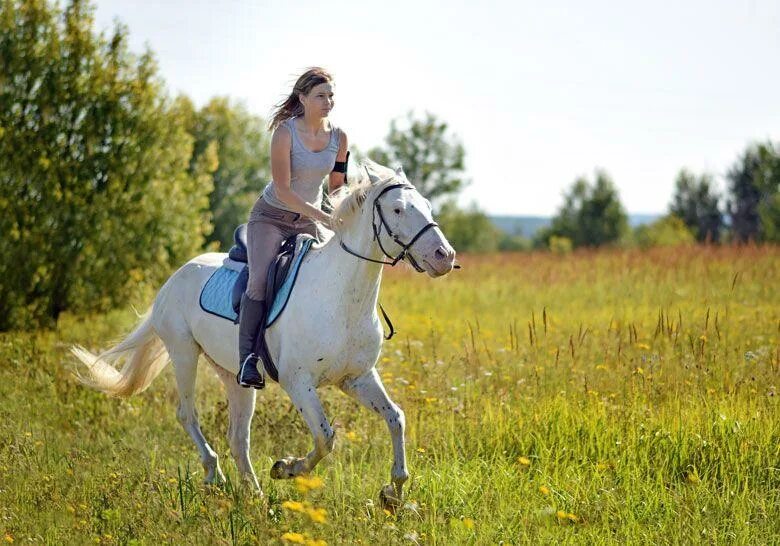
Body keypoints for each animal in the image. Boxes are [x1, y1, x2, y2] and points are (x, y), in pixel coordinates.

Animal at [73, 162, 458, 506]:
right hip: (183, 353)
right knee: (187, 415)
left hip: (235, 376)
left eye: (427, 206)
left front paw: (393, 492)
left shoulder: (356, 378)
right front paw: (286, 468)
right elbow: (325, 437)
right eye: (398, 209)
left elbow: (395, 418)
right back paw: (215, 474)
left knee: (237, 436)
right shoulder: (298, 382)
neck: (341, 295)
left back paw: (253, 493)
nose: (445, 256)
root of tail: (176, 276)